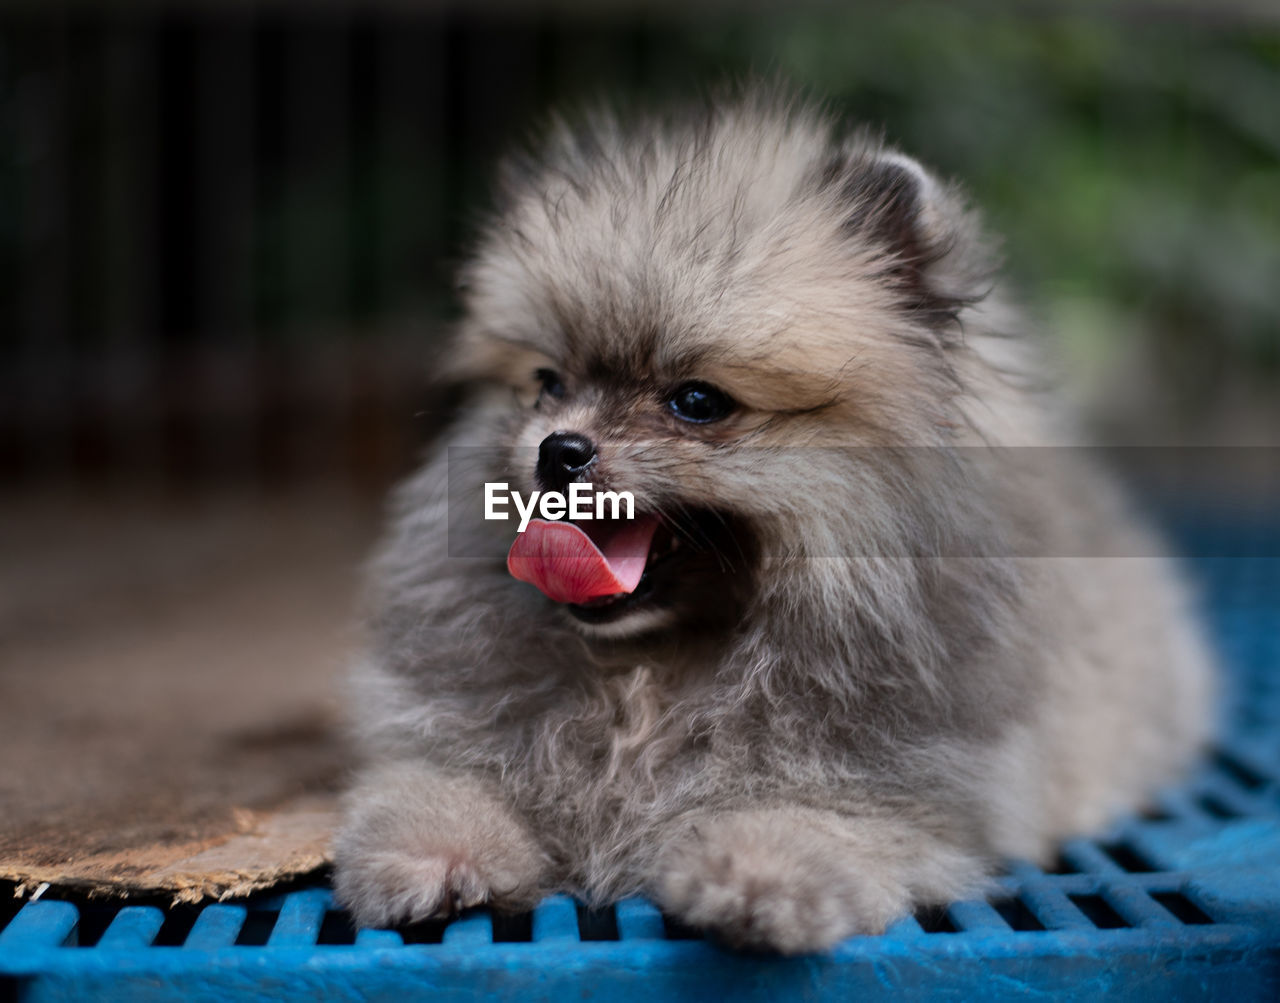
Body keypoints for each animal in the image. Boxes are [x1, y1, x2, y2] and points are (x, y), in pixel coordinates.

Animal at [330, 88, 1208, 956]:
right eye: (548, 383)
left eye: (696, 401)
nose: (559, 447)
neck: (649, 673)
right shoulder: (463, 733)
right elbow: (442, 781)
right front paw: (433, 851)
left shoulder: (902, 788)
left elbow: (814, 816)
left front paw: (759, 871)